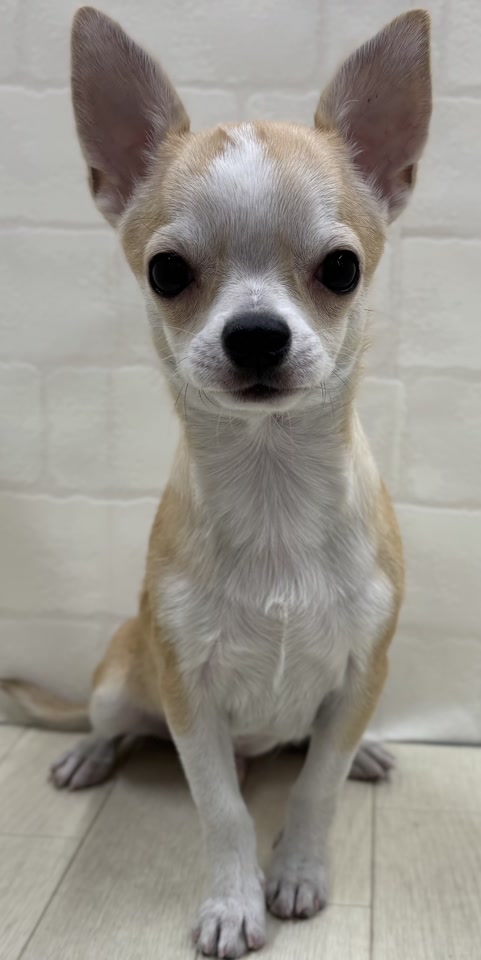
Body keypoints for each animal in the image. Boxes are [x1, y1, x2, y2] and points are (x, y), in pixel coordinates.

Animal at [1, 7, 432, 957]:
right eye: (167, 271)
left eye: (341, 268)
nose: (257, 334)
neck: (272, 485)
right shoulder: (188, 698)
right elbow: (223, 811)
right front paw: (235, 903)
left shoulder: (361, 672)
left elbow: (314, 787)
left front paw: (298, 872)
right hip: (124, 679)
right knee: (113, 724)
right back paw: (88, 753)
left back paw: (365, 753)